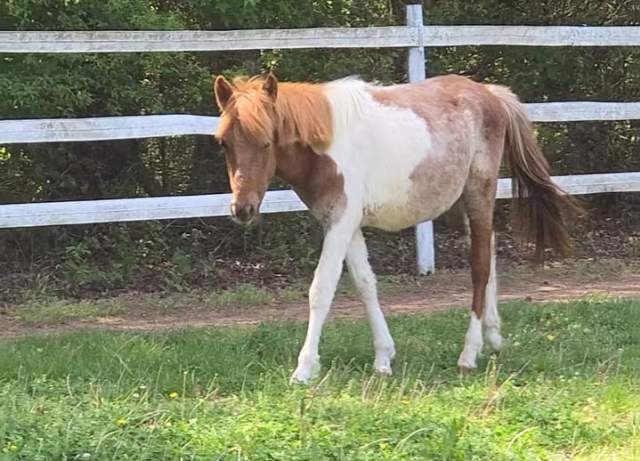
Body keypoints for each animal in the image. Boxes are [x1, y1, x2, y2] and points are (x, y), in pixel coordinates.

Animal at [213, 72, 575, 383]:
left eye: (266, 142)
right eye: (224, 143)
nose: (242, 209)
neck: (327, 146)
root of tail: (490, 94)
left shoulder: (340, 224)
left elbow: (322, 288)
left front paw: (304, 368)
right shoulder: (344, 223)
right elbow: (365, 284)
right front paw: (384, 357)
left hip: (479, 194)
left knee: (480, 266)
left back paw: (469, 353)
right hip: (458, 204)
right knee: (491, 251)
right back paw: (494, 336)